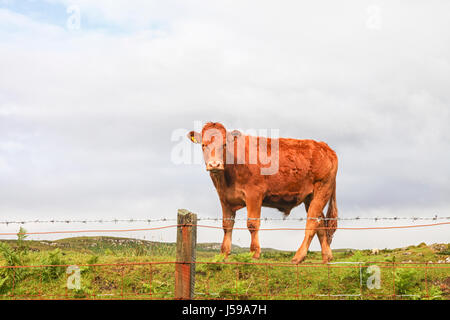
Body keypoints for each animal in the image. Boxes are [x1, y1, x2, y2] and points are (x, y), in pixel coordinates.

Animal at [186, 121, 338, 264]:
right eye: (203, 145)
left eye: (224, 145)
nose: (214, 164)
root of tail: (324, 146)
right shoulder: (224, 198)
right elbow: (227, 225)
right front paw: (223, 255)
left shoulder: (254, 194)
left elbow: (252, 224)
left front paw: (254, 254)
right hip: (310, 197)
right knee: (321, 223)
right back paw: (326, 257)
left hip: (322, 189)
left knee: (312, 223)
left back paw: (298, 257)